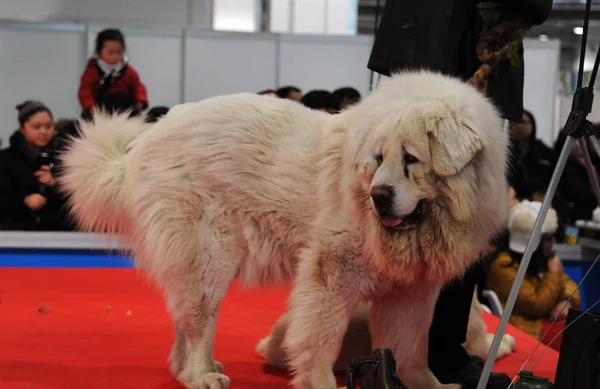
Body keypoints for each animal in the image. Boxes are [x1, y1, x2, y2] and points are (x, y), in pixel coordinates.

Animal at [58, 70, 508, 388]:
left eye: (411, 159)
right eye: (380, 158)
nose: (378, 195)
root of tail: (148, 139)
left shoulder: (411, 292)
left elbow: (411, 349)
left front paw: (426, 385)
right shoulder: (333, 272)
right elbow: (320, 339)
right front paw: (321, 383)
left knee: (185, 319)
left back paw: (186, 371)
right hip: (210, 256)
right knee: (200, 321)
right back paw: (202, 374)